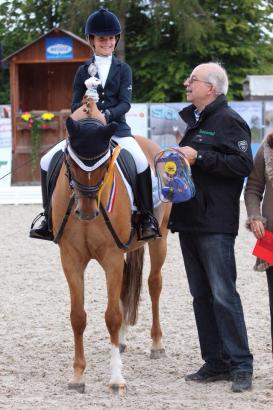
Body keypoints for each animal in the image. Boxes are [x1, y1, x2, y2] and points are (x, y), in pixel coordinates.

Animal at [51, 99, 170, 394]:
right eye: (70, 161)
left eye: (105, 164)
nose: (87, 213)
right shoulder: (70, 258)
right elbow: (78, 316)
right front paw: (78, 376)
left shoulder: (111, 257)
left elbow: (112, 316)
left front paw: (116, 378)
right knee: (128, 285)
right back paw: (124, 340)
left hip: (159, 239)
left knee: (153, 284)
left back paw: (156, 344)